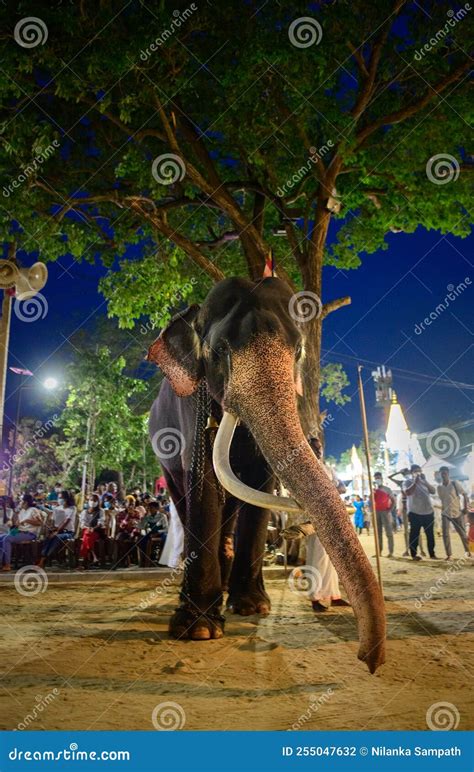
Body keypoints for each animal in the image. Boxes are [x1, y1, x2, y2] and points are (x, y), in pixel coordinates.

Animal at [148, 276, 386, 668]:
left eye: (299, 351)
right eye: (218, 351)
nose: (369, 660)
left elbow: (261, 482)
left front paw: (251, 607)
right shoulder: (192, 408)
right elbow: (204, 483)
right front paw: (198, 630)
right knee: (183, 498)